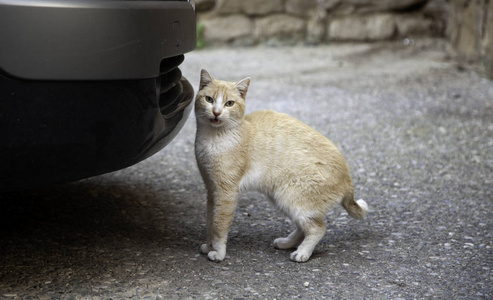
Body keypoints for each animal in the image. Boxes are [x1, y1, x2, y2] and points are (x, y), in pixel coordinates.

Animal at [194, 69, 368, 262]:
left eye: (229, 103)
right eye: (209, 99)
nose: (216, 112)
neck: (213, 139)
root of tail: (348, 179)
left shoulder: (225, 192)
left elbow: (219, 225)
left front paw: (218, 252)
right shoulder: (211, 189)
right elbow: (210, 222)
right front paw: (208, 246)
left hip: (291, 198)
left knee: (318, 227)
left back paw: (302, 252)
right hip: (280, 198)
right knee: (303, 227)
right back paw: (287, 243)